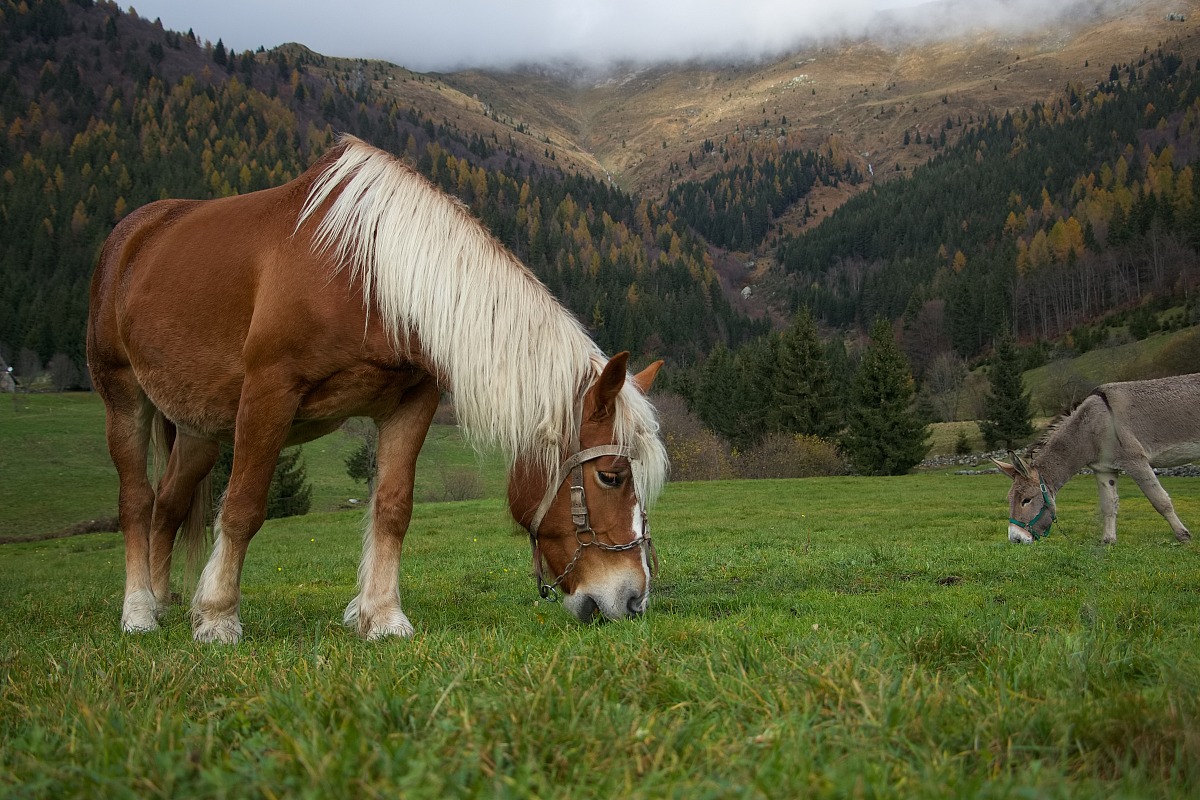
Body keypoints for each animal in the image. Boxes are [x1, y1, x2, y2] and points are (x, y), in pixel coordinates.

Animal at [87, 134, 669, 643]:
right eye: (612, 477)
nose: (633, 600)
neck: (368, 272)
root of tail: (133, 236)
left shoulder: (413, 403)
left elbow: (392, 509)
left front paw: (382, 617)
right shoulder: (268, 393)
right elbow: (244, 507)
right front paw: (216, 617)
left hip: (200, 430)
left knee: (168, 506)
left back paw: (161, 602)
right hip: (124, 397)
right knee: (137, 502)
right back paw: (139, 611)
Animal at [993, 373, 1200, 544]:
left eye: (1026, 500)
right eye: (1009, 499)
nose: (1015, 539)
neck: (1089, 428)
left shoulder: (1136, 461)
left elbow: (1160, 500)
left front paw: (1183, 536)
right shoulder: (1104, 469)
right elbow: (1108, 505)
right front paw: (1108, 541)